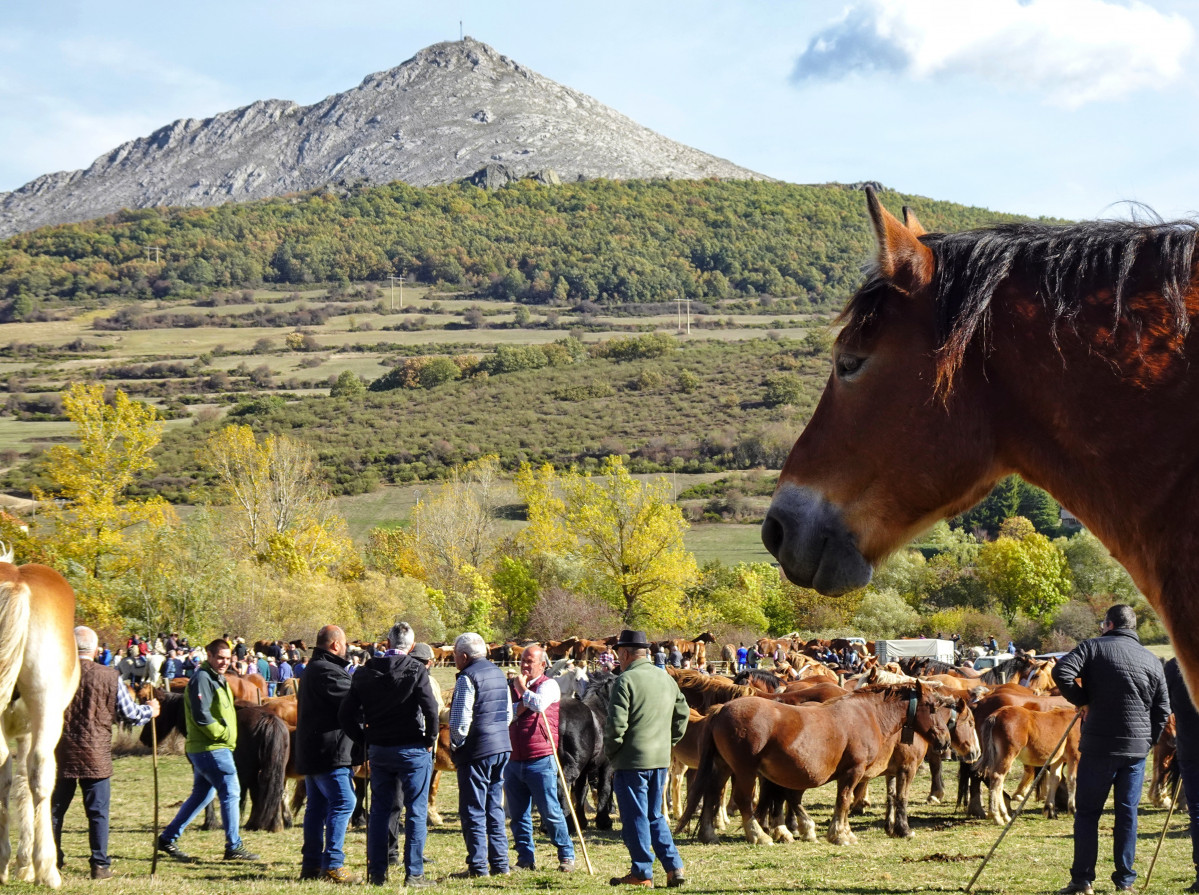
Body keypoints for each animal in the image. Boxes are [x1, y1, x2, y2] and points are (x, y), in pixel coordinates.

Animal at [681, 681, 949, 844]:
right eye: (932, 706)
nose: (945, 740)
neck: (868, 714)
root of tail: (721, 709)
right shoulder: (853, 771)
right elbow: (844, 800)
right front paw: (840, 834)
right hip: (745, 771)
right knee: (744, 800)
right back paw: (760, 835)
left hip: (723, 767)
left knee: (712, 794)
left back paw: (709, 834)